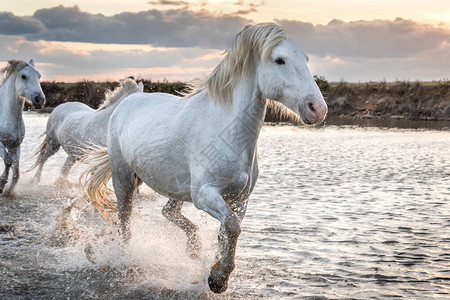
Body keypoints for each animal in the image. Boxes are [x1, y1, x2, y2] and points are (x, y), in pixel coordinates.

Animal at [0, 60, 45, 196]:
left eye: (39, 76)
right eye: (23, 76)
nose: (40, 100)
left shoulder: (15, 145)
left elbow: (16, 173)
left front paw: (8, 191)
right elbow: (8, 161)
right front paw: (1, 184)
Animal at [81, 22, 326, 292]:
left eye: (305, 58)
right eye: (279, 60)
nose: (318, 109)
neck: (227, 132)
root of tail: (130, 99)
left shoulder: (239, 200)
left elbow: (228, 232)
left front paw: (215, 272)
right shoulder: (204, 194)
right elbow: (232, 227)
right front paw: (218, 278)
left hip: (175, 187)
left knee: (168, 212)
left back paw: (193, 248)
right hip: (124, 178)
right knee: (125, 221)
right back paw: (123, 259)